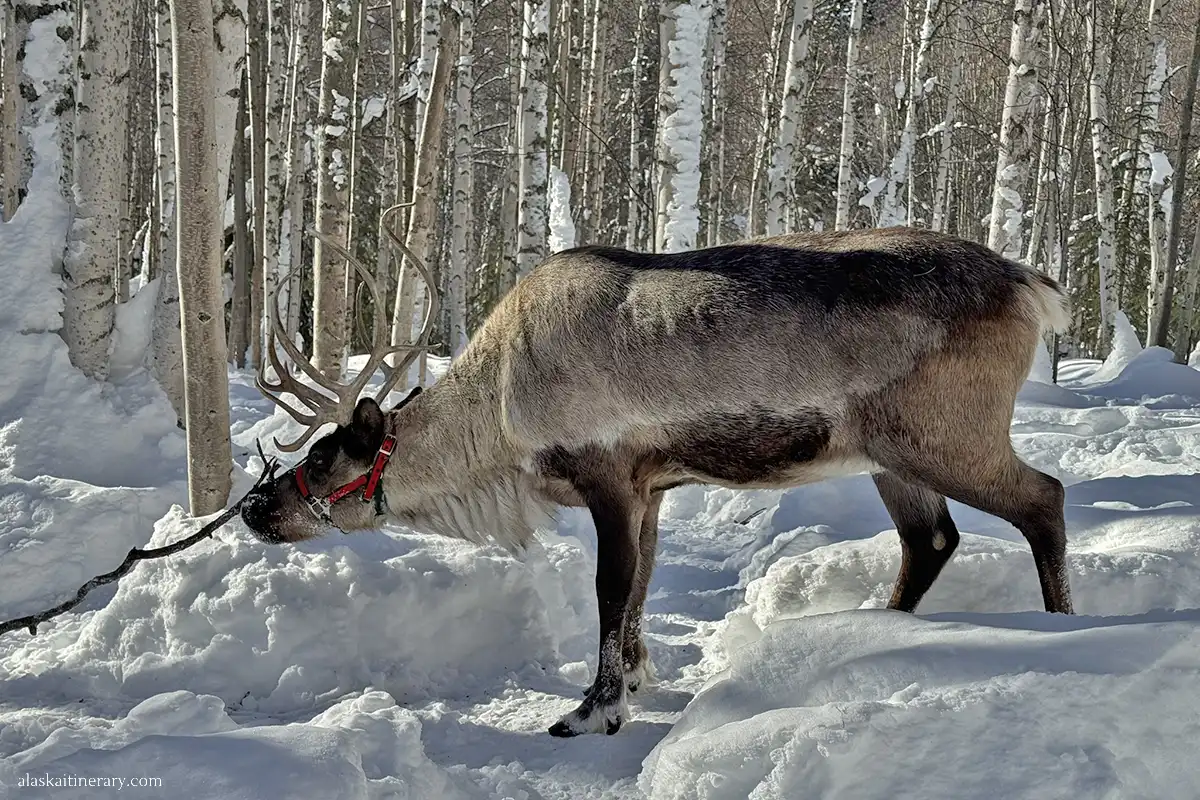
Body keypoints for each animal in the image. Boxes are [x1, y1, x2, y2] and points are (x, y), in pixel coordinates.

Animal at [240, 224, 1074, 738]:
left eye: (325, 458)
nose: (253, 506)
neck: (501, 419)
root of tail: (1034, 284)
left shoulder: (607, 474)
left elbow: (611, 587)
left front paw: (592, 708)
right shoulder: (651, 488)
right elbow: (641, 581)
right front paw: (636, 677)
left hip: (945, 435)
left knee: (1043, 500)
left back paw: (1068, 634)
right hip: (892, 458)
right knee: (929, 539)